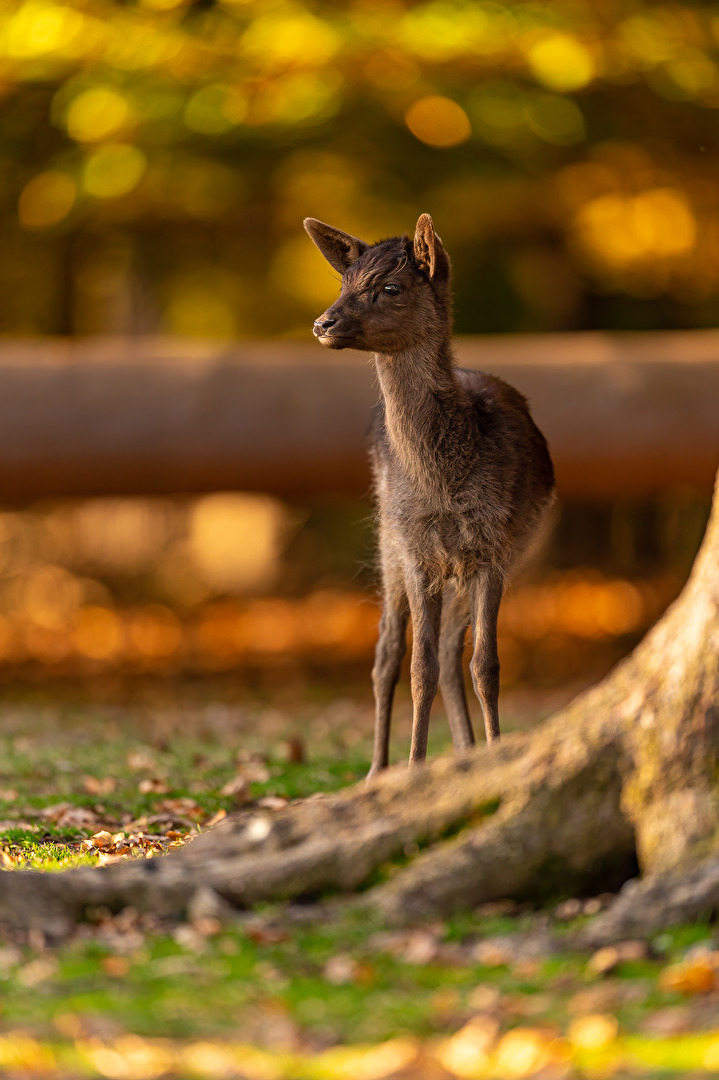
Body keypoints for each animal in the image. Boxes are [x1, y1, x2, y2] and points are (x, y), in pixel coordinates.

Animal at [302, 214, 552, 773]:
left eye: (390, 288)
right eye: (345, 282)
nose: (323, 323)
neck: (445, 487)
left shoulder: (494, 549)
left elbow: (486, 664)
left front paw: (494, 753)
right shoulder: (416, 551)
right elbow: (420, 666)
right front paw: (414, 765)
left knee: (454, 653)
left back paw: (465, 752)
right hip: (387, 545)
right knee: (386, 654)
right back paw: (377, 769)